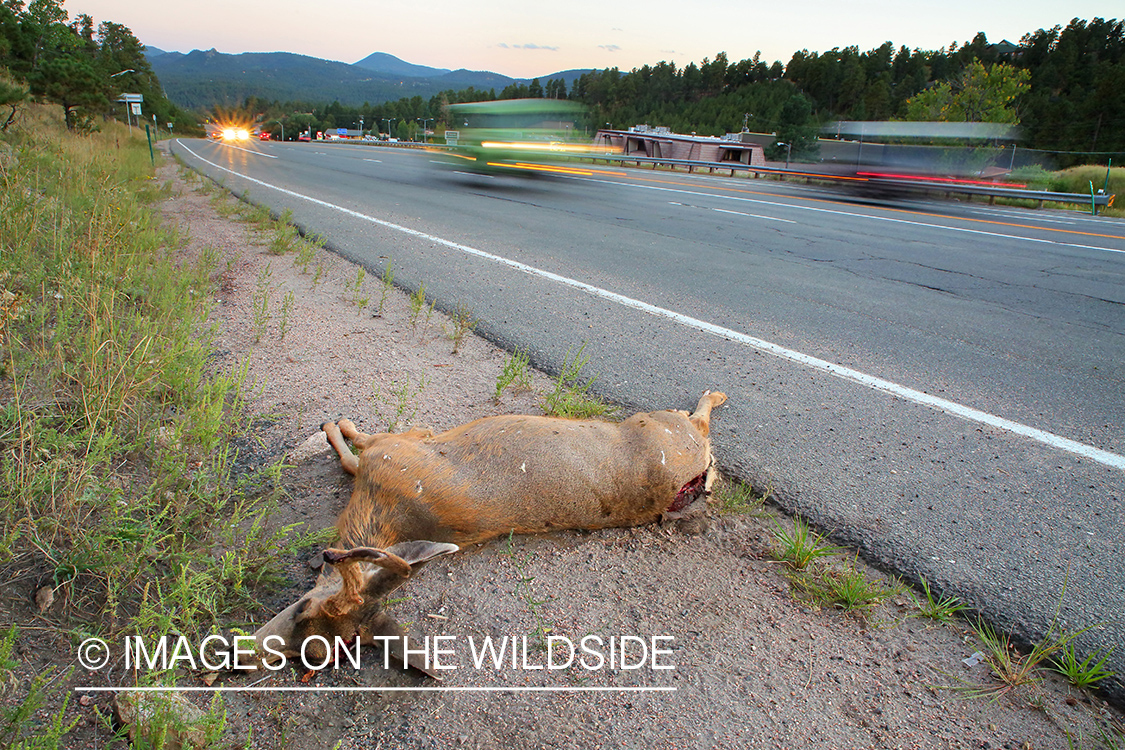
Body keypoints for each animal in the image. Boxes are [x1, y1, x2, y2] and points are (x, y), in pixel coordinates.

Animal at [253, 393, 729, 674]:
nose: (250, 656)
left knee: (697, 421)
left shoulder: (397, 446)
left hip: (659, 423)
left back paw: (713, 396)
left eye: (304, 612)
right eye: (315, 653)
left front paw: (337, 423)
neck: (380, 510)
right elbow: (352, 458)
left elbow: (356, 446)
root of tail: (685, 485)